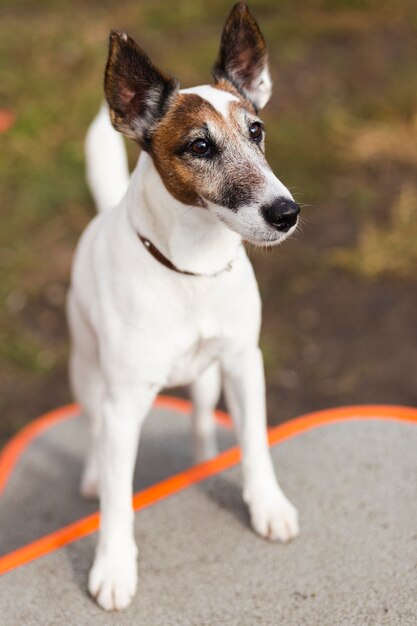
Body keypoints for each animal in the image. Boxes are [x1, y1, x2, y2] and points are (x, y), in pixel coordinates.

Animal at [68, 2, 300, 608]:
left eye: (257, 131)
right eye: (200, 146)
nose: (286, 213)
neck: (190, 270)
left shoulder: (243, 364)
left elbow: (255, 443)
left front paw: (267, 505)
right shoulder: (123, 402)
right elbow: (118, 498)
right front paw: (114, 566)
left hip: (207, 377)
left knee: (198, 420)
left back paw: (200, 461)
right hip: (88, 370)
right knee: (93, 432)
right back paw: (92, 474)